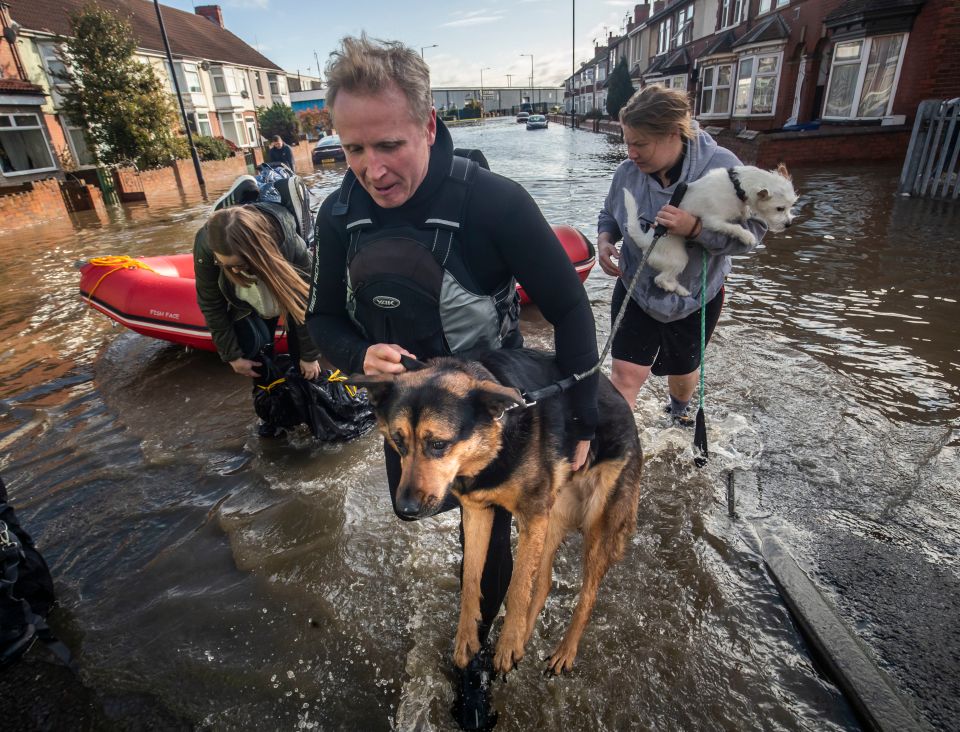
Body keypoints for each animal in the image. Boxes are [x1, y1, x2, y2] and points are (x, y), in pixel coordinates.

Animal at [348, 348, 640, 676]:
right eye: (398, 441)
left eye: (438, 444)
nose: (406, 510)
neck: (496, 441)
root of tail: (624, 406)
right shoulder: (478, 512)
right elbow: (472, 580)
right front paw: (468, 640)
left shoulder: (532, 517)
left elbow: (518, 586)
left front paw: (508, 643)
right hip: (553, 516)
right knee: (543, 583)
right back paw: (526, 637)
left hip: (597, 526)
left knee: (587, 595)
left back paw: (564, 652)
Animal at [624, 163, 796, 294]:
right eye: (779, 208)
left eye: (791, 205)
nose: (788, 224)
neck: (737, 187)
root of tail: (646, 241)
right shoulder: (713, 221)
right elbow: (734, 227)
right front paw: (747, 236)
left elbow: (742, 214)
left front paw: (746, 213)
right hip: (678, 260)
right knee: (659, 279)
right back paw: (673, 288)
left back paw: (681, 290)